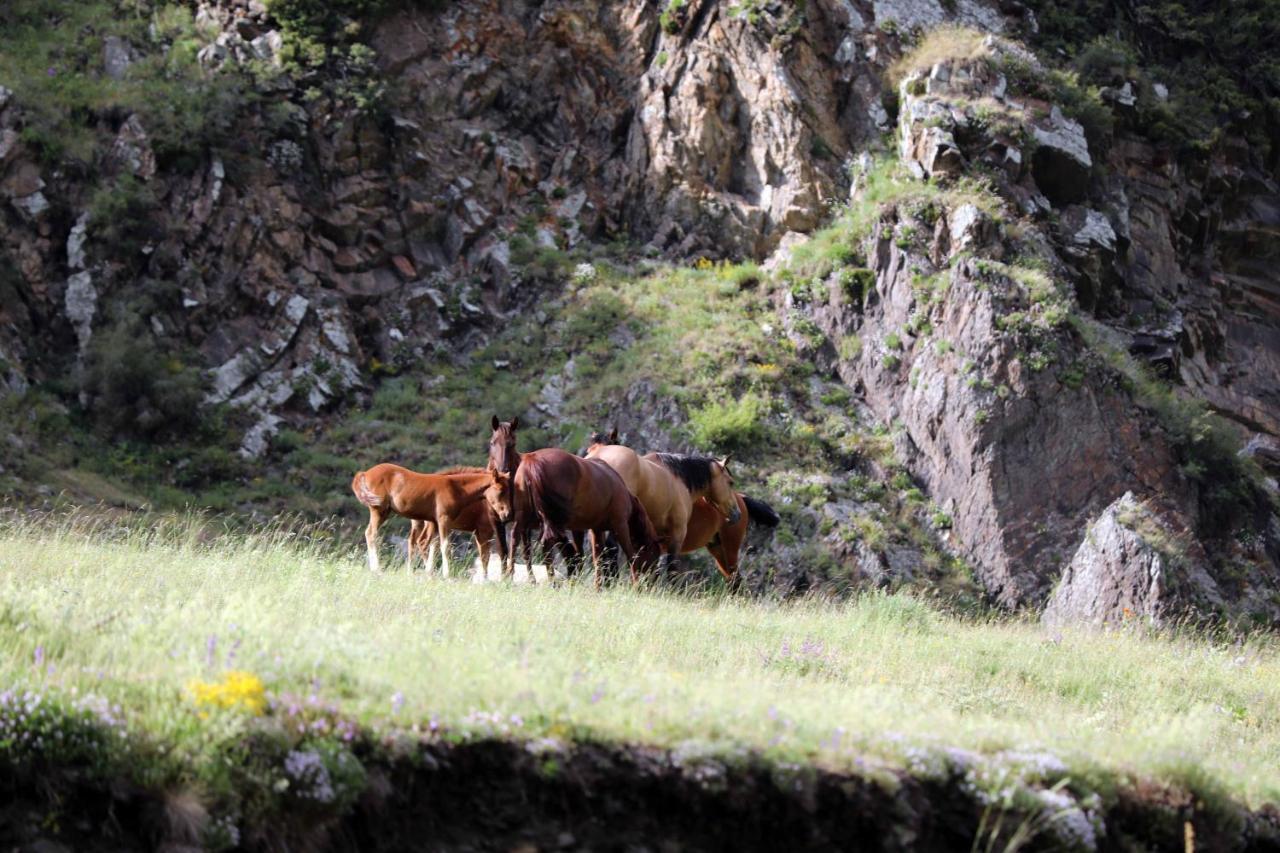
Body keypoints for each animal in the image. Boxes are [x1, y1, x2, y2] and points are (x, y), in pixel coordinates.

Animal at [355, 461, 504, 573]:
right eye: (501, 491)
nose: (505, 513)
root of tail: (365, 473)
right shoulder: (483, 530)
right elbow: (486, 556)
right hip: (380, 511)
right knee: (372, 534)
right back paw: (377, 568)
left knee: (415, 542)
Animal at [486, 445, 665, 584]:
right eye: (654, 554)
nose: (651, 581)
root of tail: (532, 460)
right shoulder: (619, 525)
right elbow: (630, 556)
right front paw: (635, 586)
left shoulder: (589, 529)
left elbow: (591, 558)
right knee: (546, 545)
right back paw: (552, 582)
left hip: (525, 519)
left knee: (516, 540)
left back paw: (512, 577)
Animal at [583, 432, 737, 571]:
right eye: (730, 482)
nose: (737, 513)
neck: (679, 479)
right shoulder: (677, 533)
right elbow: (671, 567)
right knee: (611, 549)